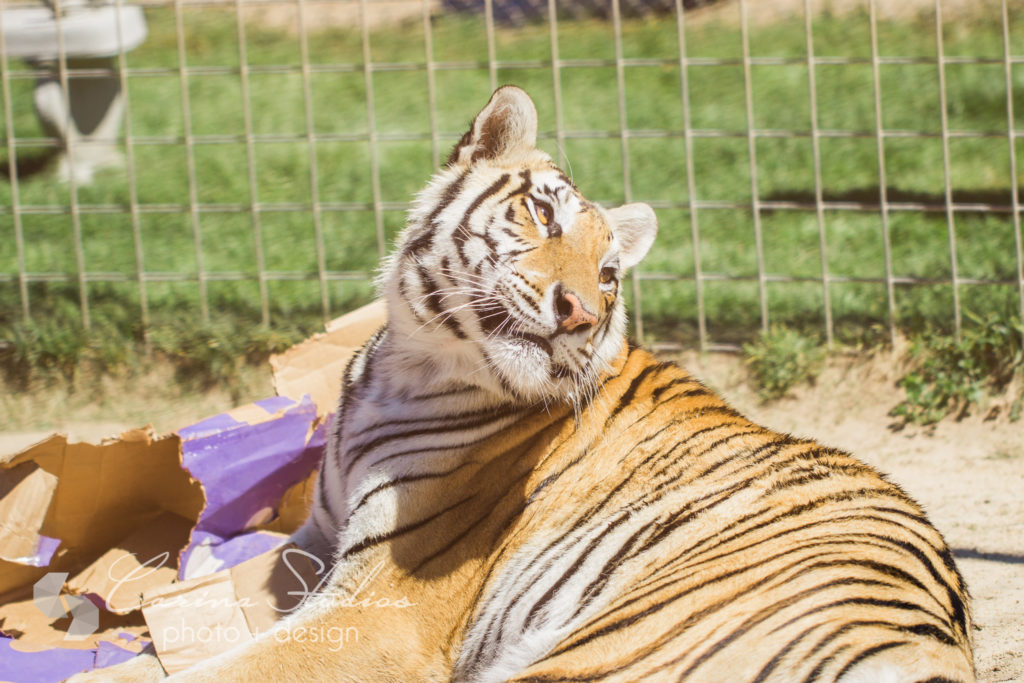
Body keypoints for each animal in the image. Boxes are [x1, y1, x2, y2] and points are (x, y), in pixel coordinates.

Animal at [75, 87, 970, 683]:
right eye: (543, 217)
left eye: (609, 275)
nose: (581, 311)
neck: (407, 365)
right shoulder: (316, 541)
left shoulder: (379, 610)